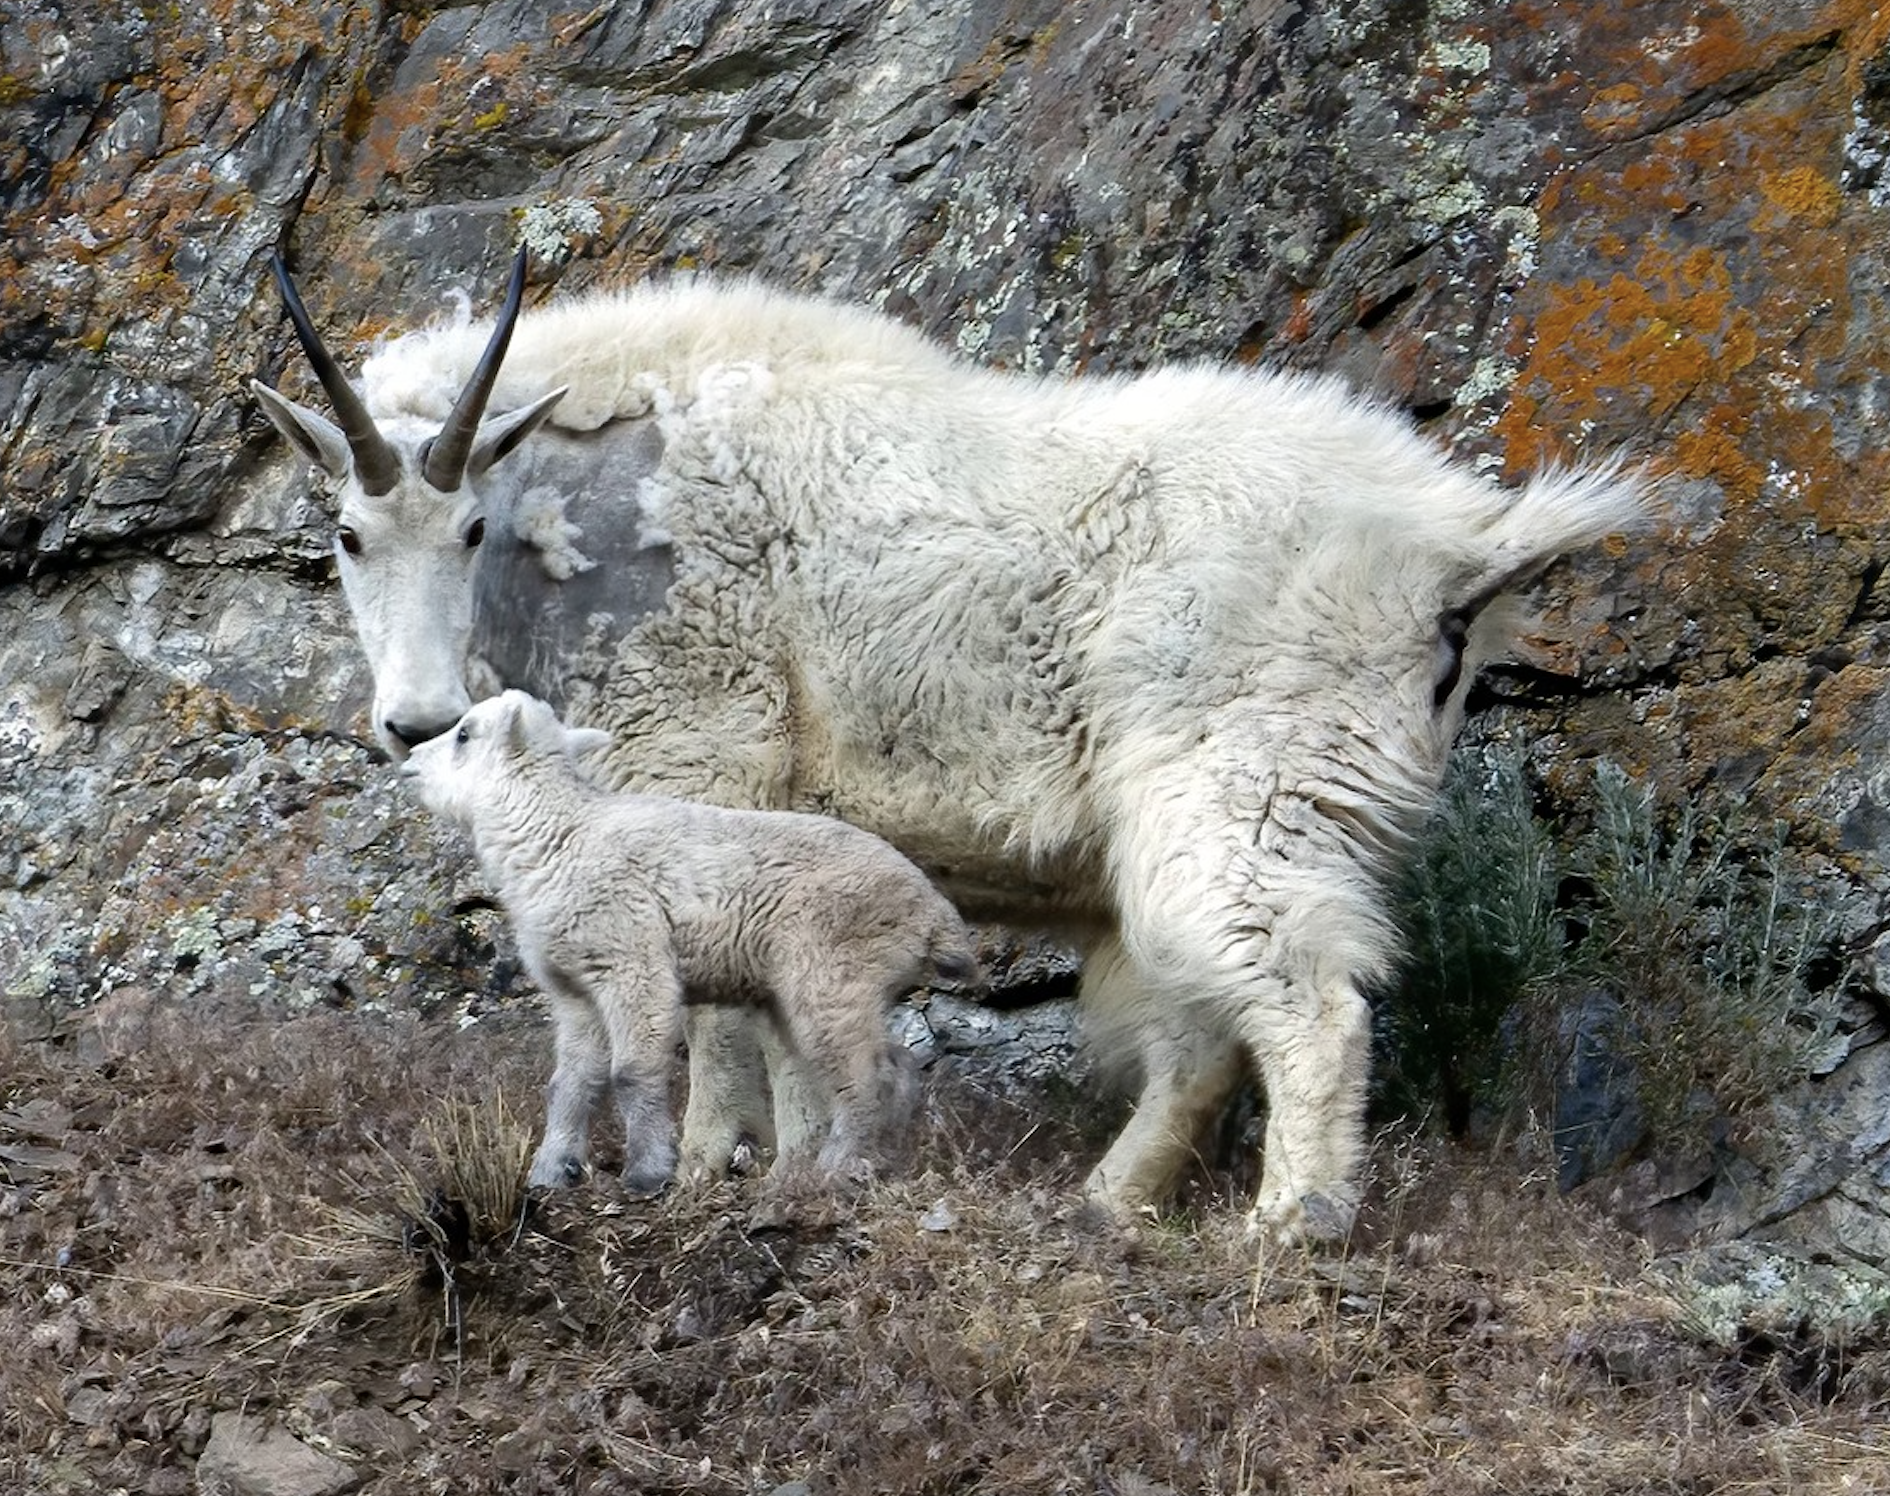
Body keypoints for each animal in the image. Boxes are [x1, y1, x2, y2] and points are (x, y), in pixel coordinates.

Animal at [253, 247, 1652, 1241]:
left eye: (471, 526)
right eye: (347, 535)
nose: (416, 717)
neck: (607, 494)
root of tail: (1457, 552)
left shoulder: (703, 761)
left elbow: (714, 1019)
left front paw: (705, 1167)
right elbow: (777, 1020)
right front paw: (793, 1164)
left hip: (1245, 795)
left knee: (1309, 1001)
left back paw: (1288, 1223)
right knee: (1208, 1029)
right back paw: (1109, 1202)